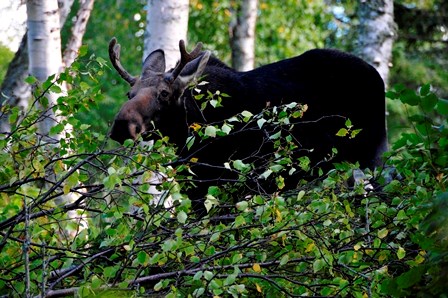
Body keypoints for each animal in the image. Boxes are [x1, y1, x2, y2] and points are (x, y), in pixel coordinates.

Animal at [107, 36, 384, 207]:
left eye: (164, 94)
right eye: (129, 94)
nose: (122, 124)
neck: (184, 135)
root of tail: (378, 77)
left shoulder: (222, 182)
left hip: (367, 155)